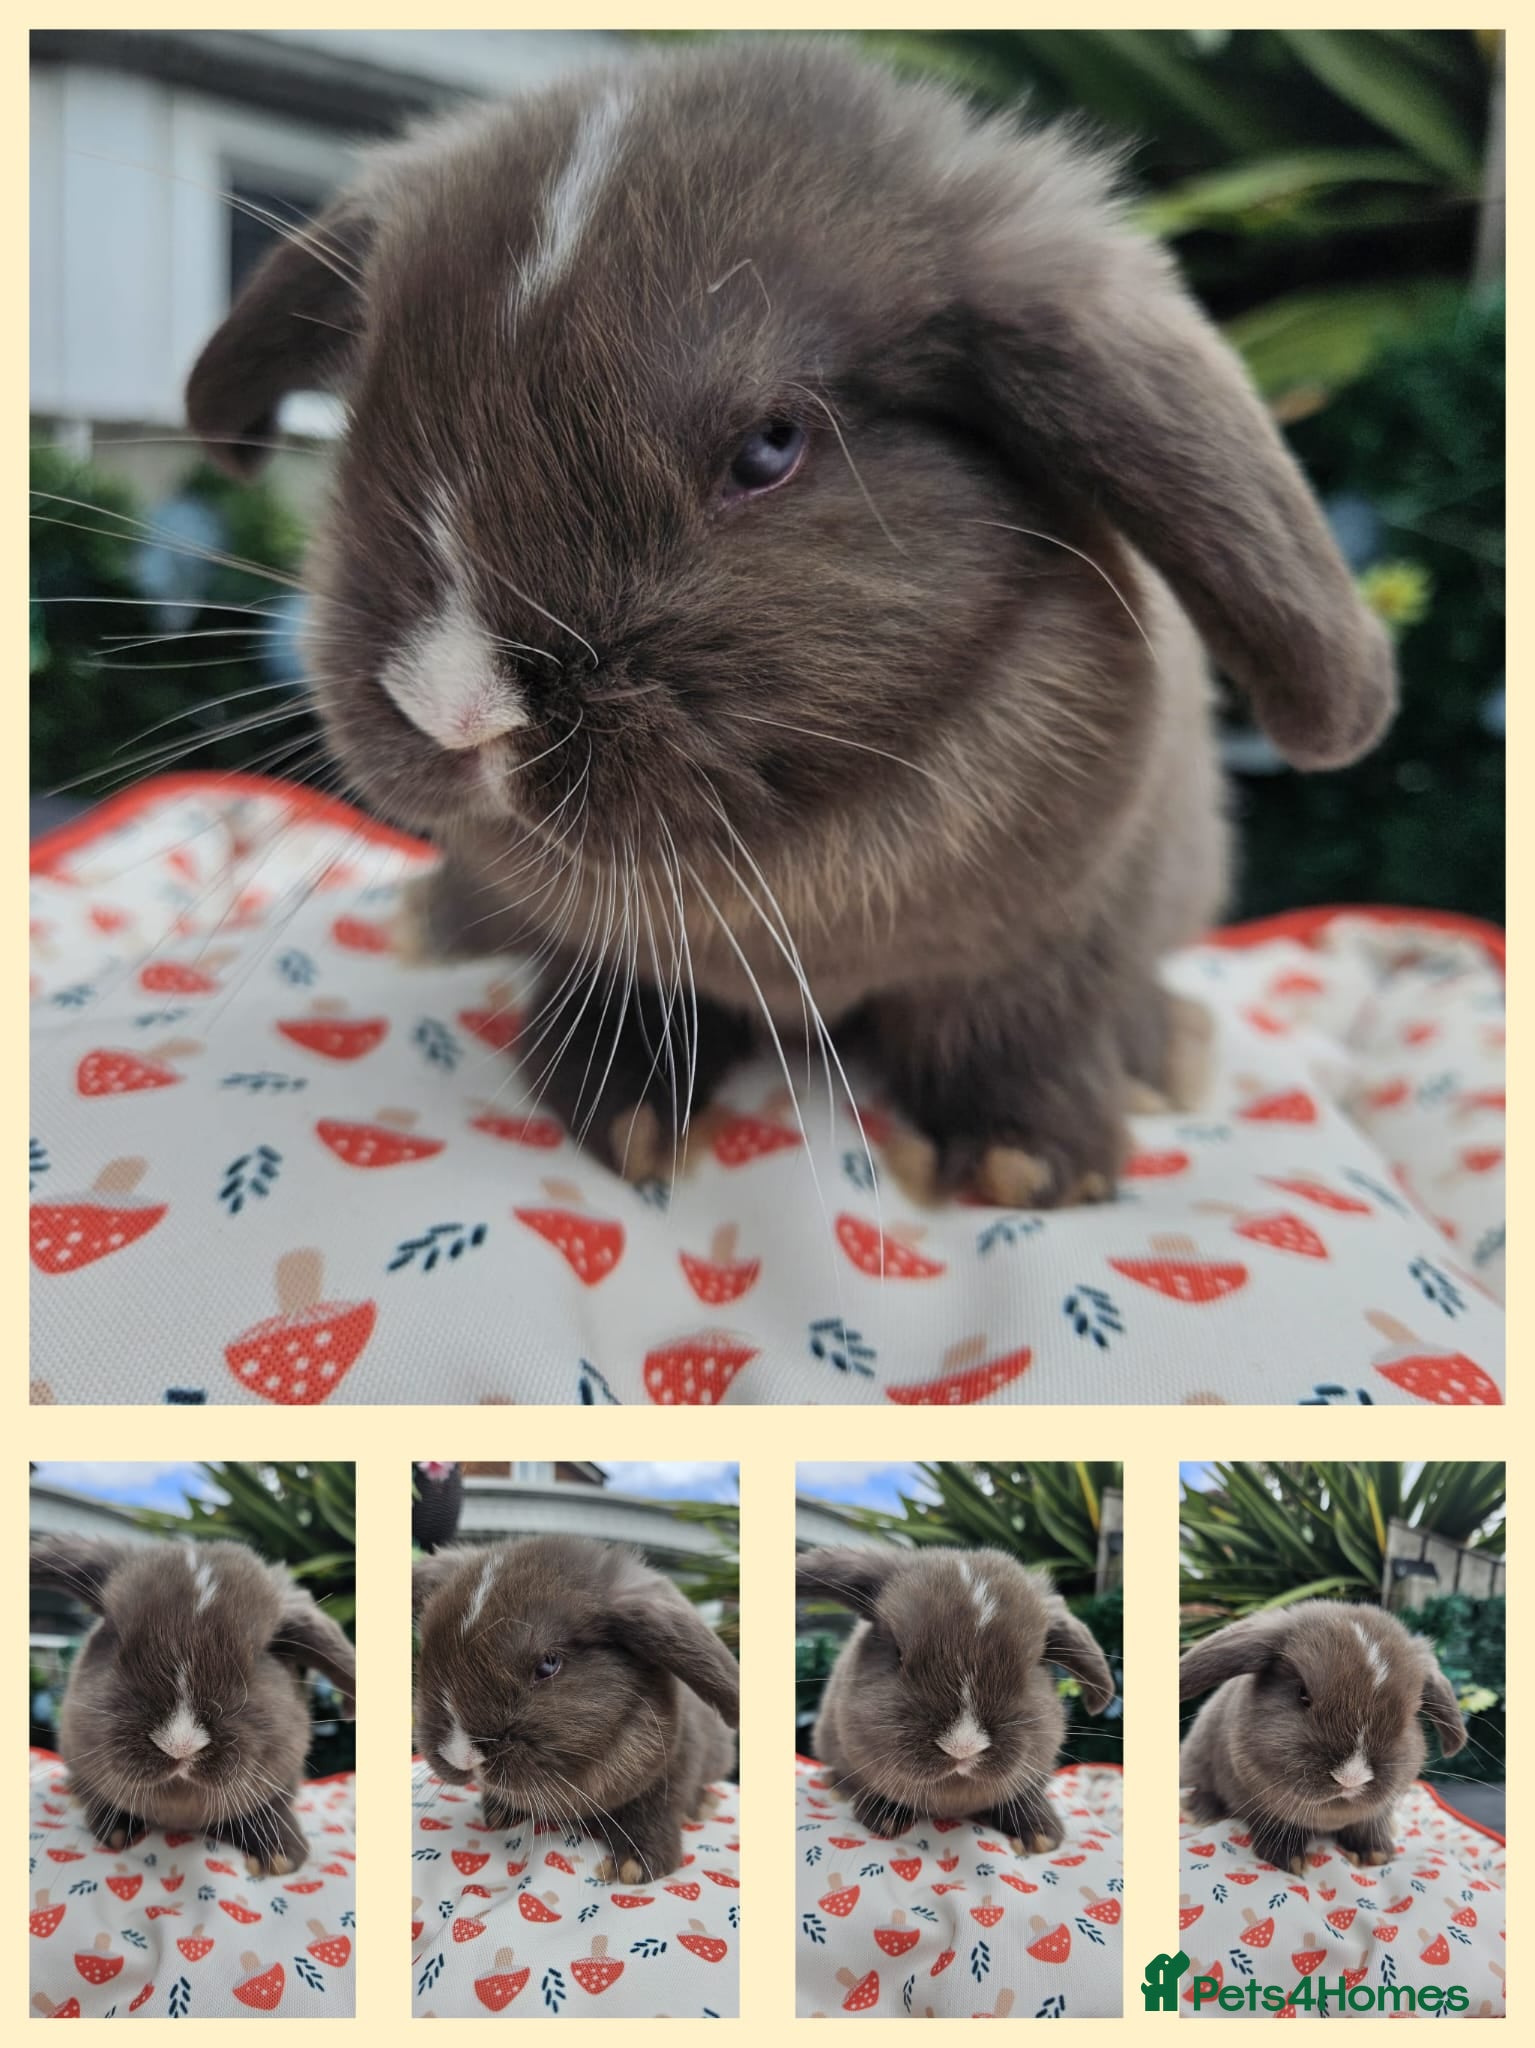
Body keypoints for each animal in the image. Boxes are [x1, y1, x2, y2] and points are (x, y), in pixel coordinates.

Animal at [186, 38, 1396, 1207]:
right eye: (365, 415)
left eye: (769, 446)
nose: (456, 708)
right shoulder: (618, 948)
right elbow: (621, 992)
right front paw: (616, 1111)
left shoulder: (1044, 943)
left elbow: (1015, 1032)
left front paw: (1030, 1165)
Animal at [412, 1534, 738, 1883]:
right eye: (427, 1651)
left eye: (548, 1663)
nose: (462, 1756)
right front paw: (499, 1812)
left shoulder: (676, 1767)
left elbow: (656, 1809)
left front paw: (636, 1866)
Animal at [1179, 1599, 1467, 1874]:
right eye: (1302, 1694)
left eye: (1408, 1716)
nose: (1351, 1778)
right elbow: (1276, 1823)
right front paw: (1287, 1859)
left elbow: (1368, 1825)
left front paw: (1376, 1854)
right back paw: (1199, 1810)